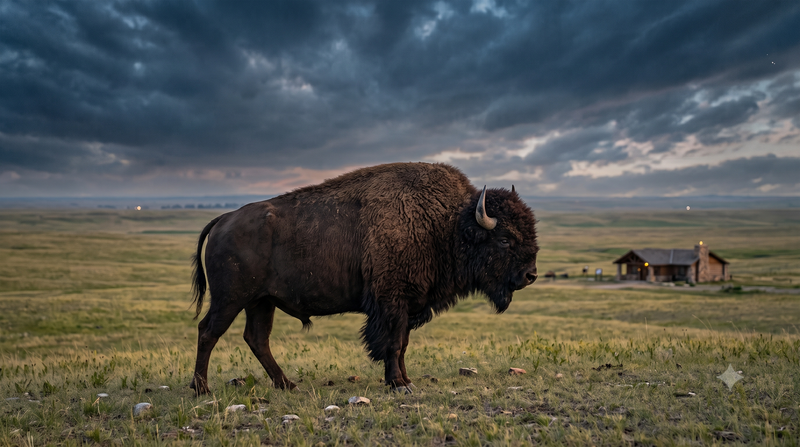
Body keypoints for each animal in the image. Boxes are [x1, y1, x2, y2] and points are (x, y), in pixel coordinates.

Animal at [189, 162, 538, 394]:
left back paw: (287, 384)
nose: (530, 275)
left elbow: (402, 344)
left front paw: (405, 380)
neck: (447, 223)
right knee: (208, 332)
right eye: (505, 239)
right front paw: (399, 384)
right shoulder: (392, 301)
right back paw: (202, 389)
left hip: (261, 301)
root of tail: (225, 218)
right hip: (230, 298)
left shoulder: (407, 304)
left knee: (257, 338)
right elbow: (393, 343)